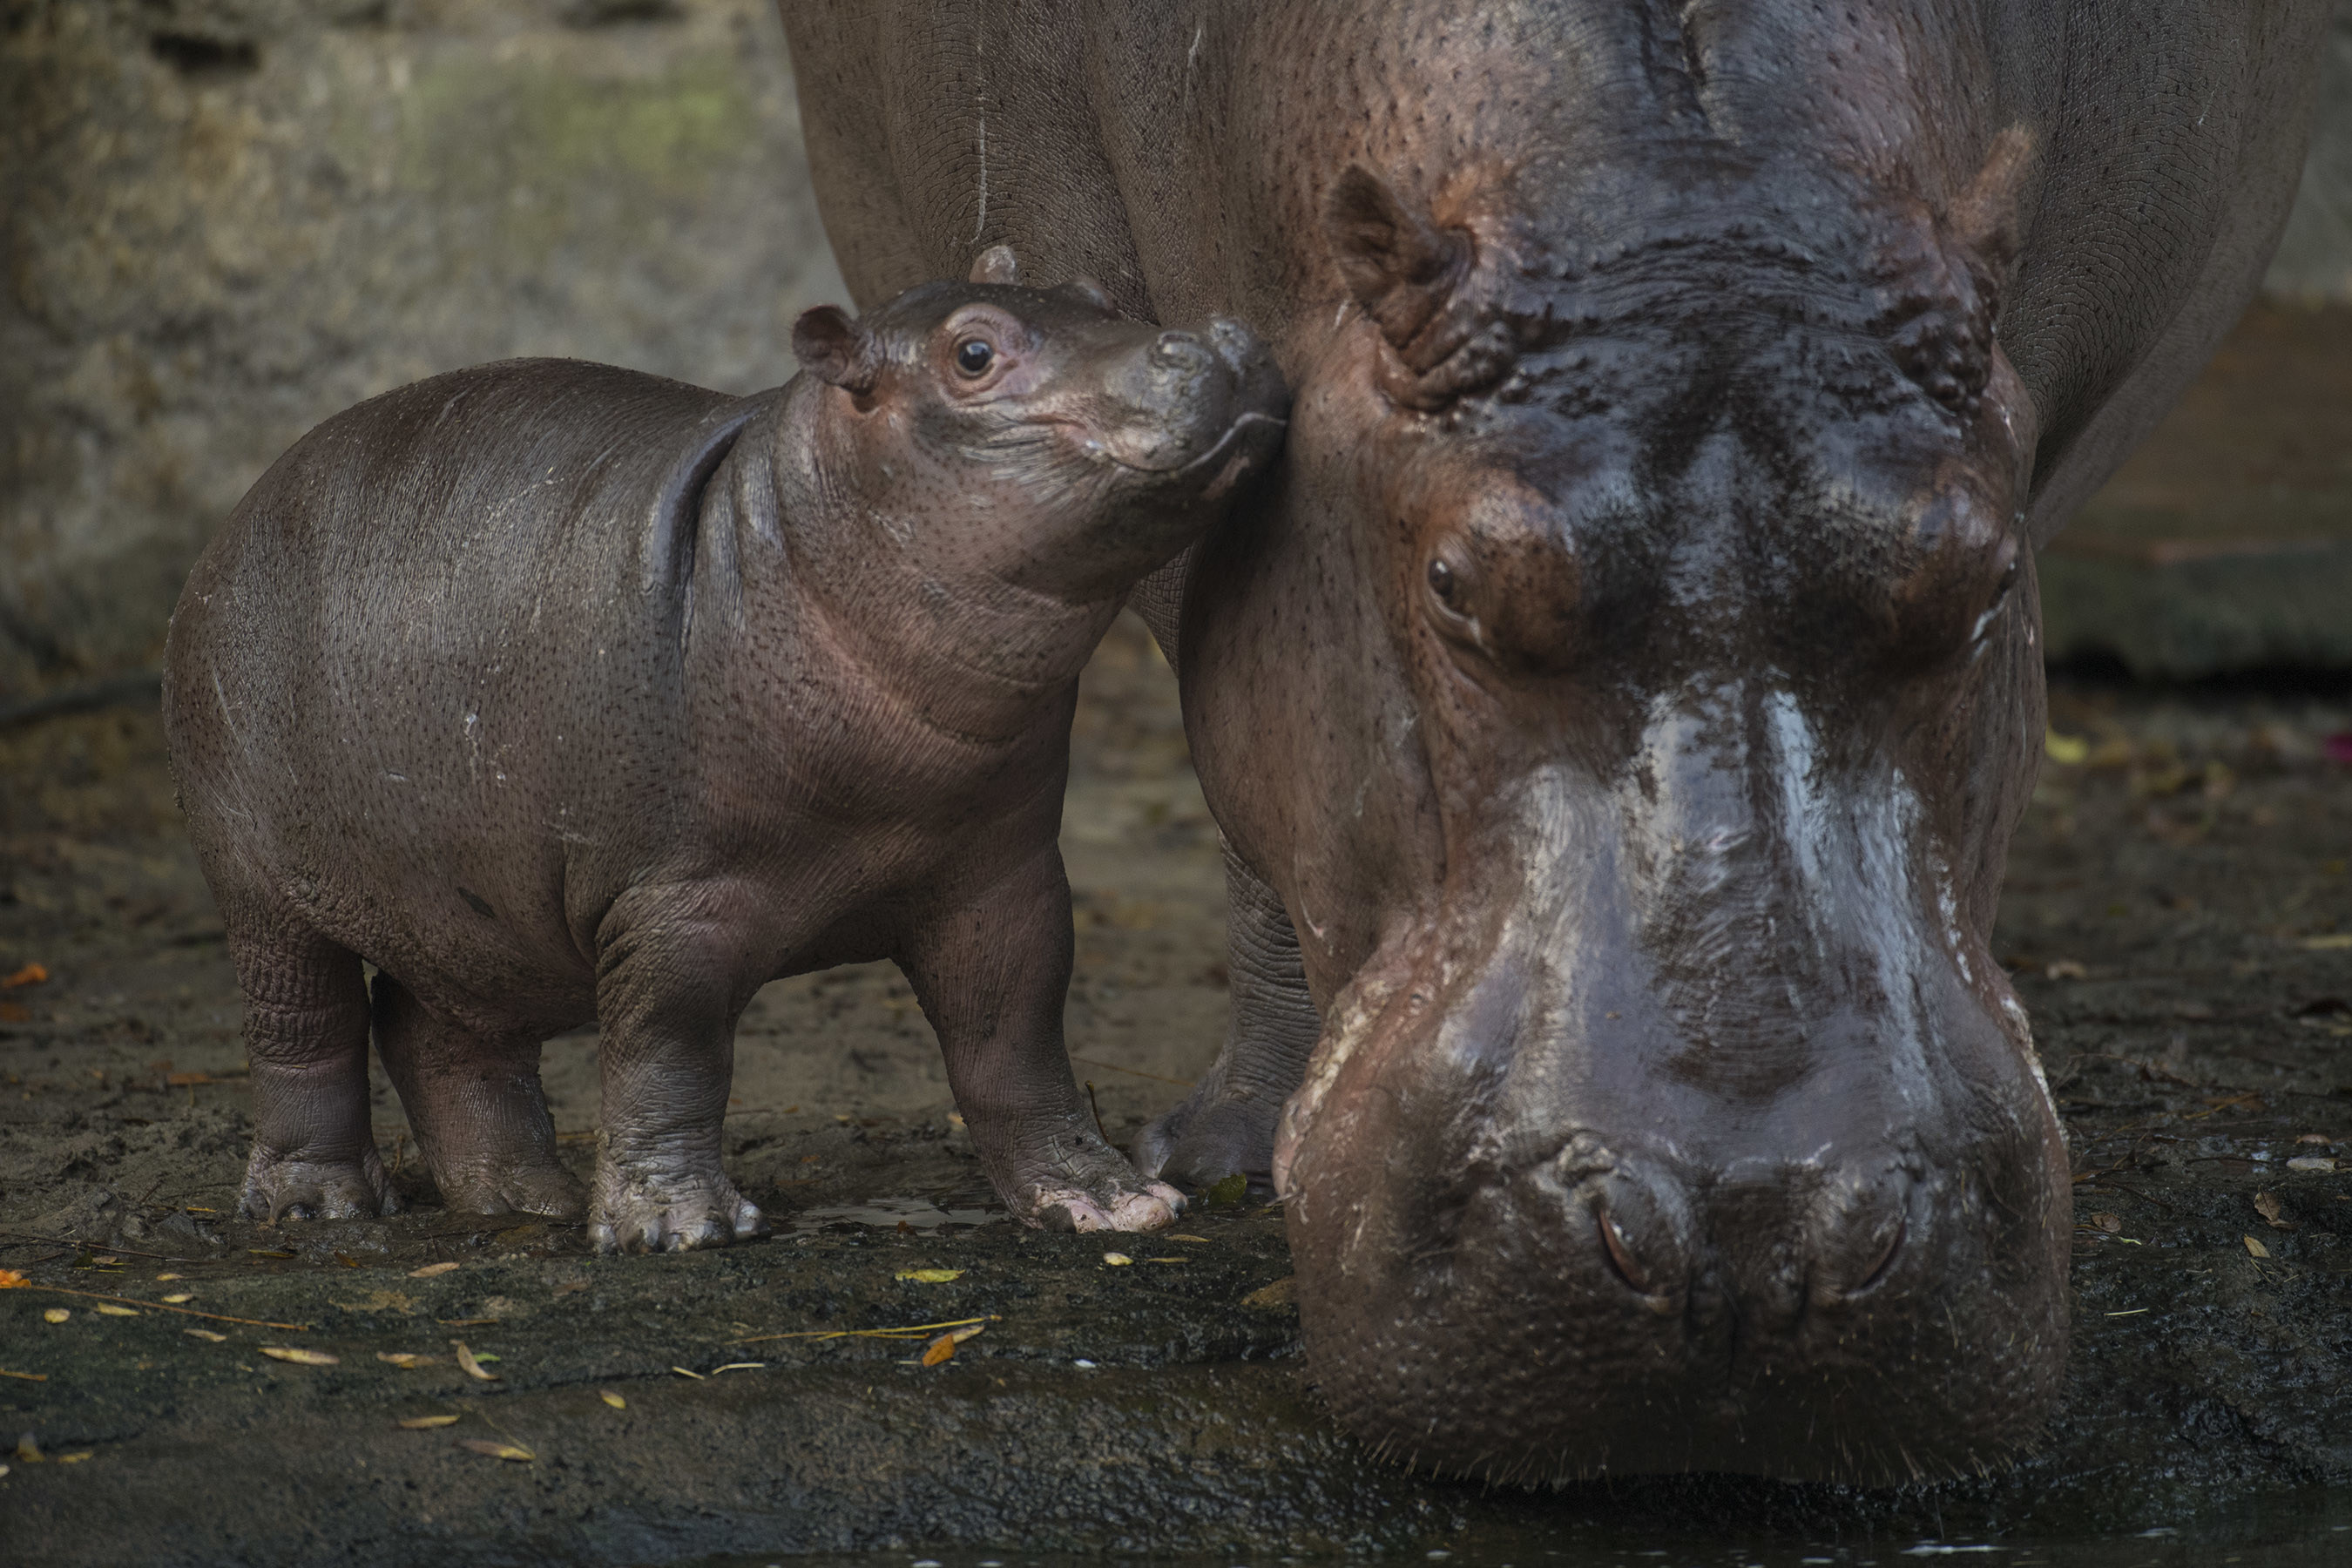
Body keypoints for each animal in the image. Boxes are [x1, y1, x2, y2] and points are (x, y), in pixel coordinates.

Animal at [166, 246, 1288, 1250]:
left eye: (1095, 291)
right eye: (973, 352)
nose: (1216, 339)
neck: (805, 533)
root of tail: (238, 514)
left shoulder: (1001, 877)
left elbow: (1015, 1034)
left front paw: (1110, 1200)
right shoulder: (676, 898)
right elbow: (672, 1046)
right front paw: (678, 1227)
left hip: (475, 903)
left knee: (434, 1029)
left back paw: (532, 1199)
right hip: (261, 880)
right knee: (302, 1029)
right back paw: (318, 1205)